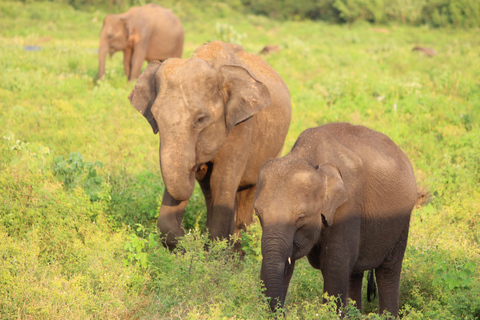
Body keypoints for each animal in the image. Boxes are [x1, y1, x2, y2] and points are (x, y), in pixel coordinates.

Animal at [128, 40, 292, 250]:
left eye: (200, 119)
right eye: (155, 119)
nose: (197, 166)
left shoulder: (241, 127)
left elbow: (221, 181)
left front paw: (215, 251)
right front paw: (187, 247)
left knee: (247, 189)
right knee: (209, 191)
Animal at [255, 122, 416, 318]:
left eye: (300, 218)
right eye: (258, 215)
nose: (284, 312)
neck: (308, 157)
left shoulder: (348, 205)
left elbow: (334, 265)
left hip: (402, 221)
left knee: (388, 270)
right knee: (355, 273)